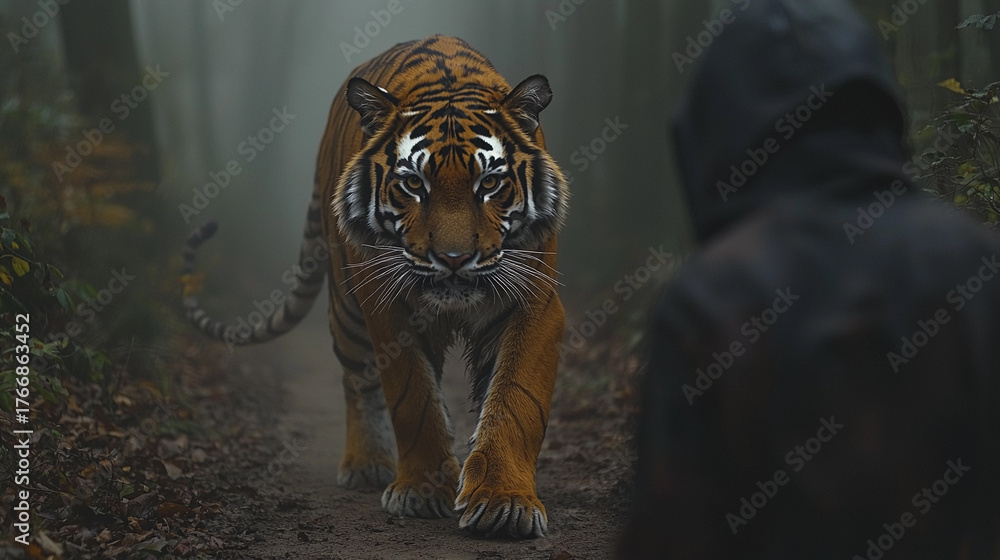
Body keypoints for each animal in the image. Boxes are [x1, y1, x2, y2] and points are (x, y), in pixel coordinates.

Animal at [181, 35, 569, 538]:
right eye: (413, 184)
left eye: (490, 183)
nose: (454, 259)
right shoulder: (386, 307)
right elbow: (413, 398)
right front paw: (421, 490)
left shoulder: (533, 301)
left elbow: (514, 400)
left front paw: (505, 502)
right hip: (347, 307)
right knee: (356, 379)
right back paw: (366, 464)